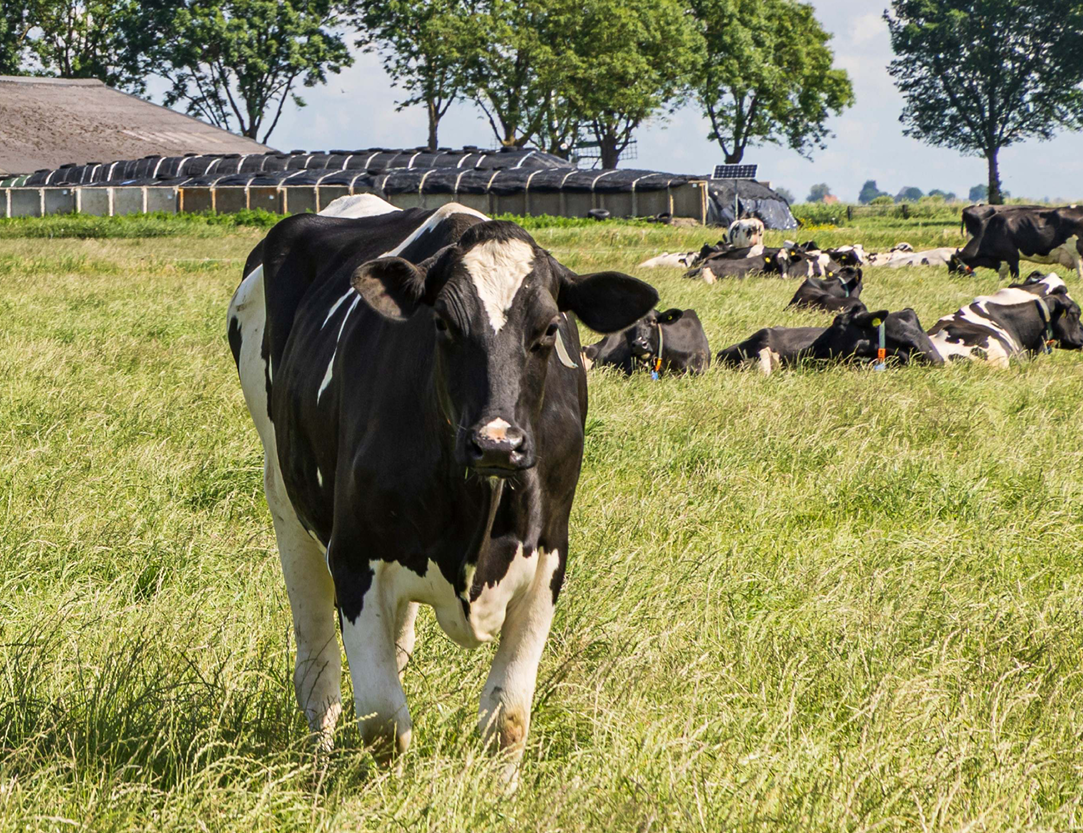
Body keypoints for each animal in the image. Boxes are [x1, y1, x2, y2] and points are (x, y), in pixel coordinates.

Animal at [227, 194, 657, 776]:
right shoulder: (353, 556)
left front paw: (500, 789)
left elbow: (508, 719)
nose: (497, 444)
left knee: (397, 644)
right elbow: (385, 724)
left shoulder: (549, 560)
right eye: (443, 323)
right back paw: (317, 761)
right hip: (285, 499)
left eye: (549, 328)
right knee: (318, 669)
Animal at [950, 206, 1083, 279]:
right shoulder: (1002, 260)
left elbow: (1015, 276)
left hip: (1079, 254)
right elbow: (1001, 278)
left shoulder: (1012, 256)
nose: (952, 280)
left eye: (952, 267)